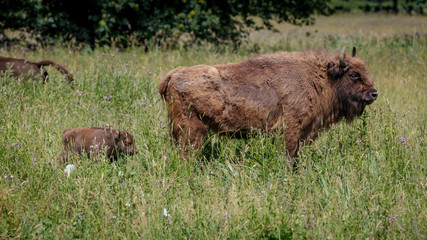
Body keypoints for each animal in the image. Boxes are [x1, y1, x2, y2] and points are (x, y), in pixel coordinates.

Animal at [160, 47, 378, 169]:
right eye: (354, 74)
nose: (374, 93)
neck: (320, 77)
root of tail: (174, 74)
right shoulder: (290, 130)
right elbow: (289, 155)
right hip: (191, 130)